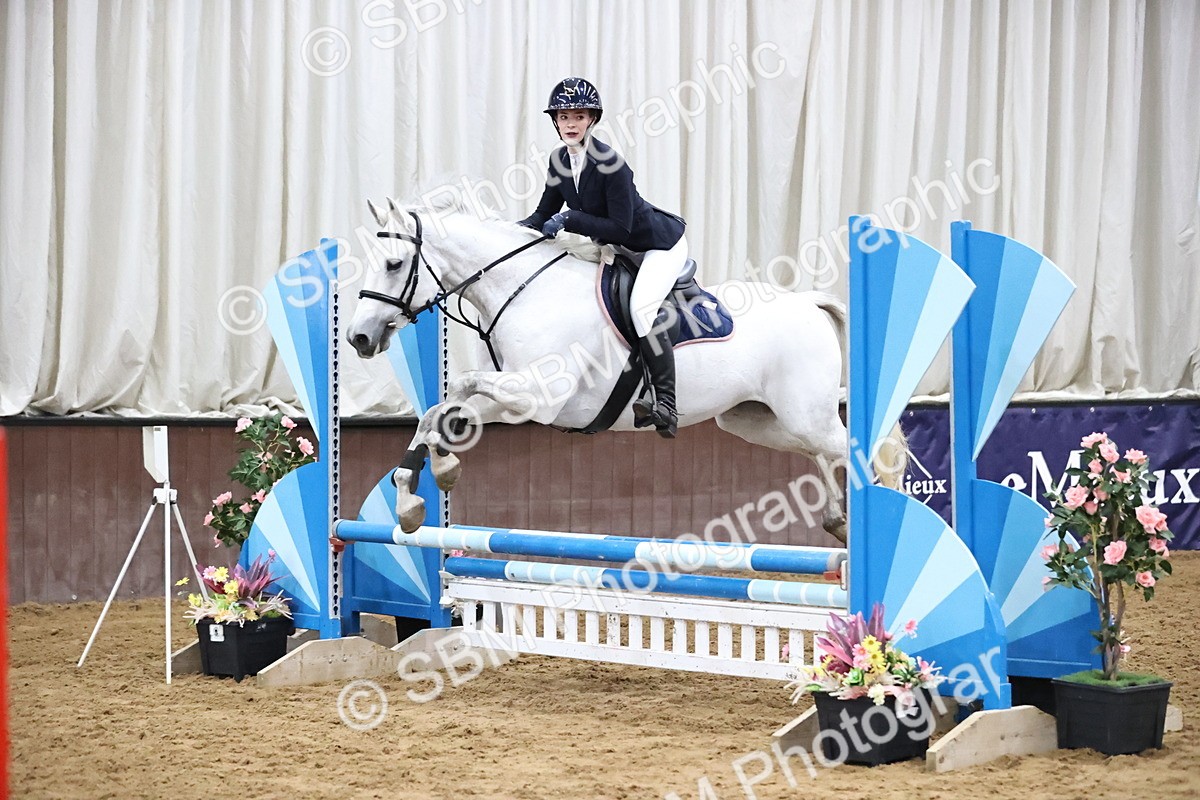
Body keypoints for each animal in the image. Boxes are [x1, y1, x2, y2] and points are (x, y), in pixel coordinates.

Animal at [346, 196, 907, 542]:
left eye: (394, 264)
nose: (358, 337)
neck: (524, 289)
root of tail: (809, 303)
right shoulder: (521, 401)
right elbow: (440, 413)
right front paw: (417, 492)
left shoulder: (538, 395)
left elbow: (456, 392)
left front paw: (436, 472)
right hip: (755, 420)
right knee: (825, 450)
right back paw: (838, 520)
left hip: (800, 412)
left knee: (859, 451)